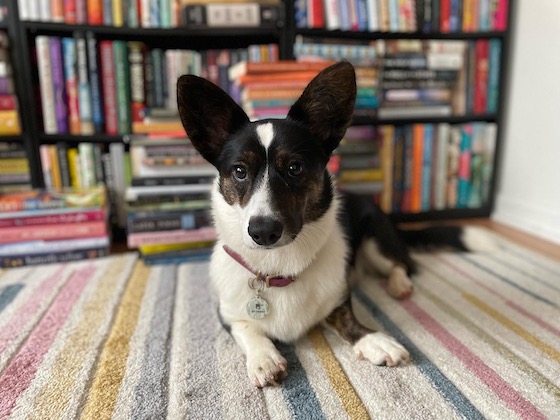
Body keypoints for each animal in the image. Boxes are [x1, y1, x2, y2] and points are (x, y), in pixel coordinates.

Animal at [176, 61, 490, 388]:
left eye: (295, 167)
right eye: (239, 171)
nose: (263, 231)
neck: (279, 269)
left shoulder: (339, 297)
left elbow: (349, 321)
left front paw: (373, 339)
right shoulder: (227, 314)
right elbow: (248, 328)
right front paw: (264, 358)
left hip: (375, 240)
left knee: (404, 264)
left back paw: (399, 284)